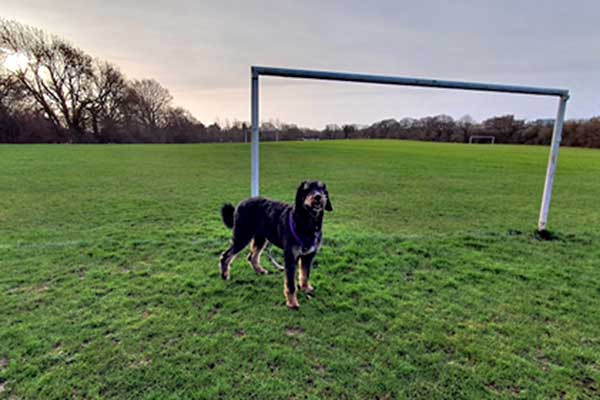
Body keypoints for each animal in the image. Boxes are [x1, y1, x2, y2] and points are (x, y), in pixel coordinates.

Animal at [219, 180, 332, 310]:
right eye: (307, 189)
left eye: (322, 188)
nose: (318, 196)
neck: (306, 223)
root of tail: (240, 204)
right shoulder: (290, 257)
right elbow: (291, 284)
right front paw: (292, 303)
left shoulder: (308, 256)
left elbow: (305, 274)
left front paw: (306, 288)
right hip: (242, 236)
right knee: (226, 255)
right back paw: (224, 275)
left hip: (260, 238)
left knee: (252, 256)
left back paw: (259, 270)